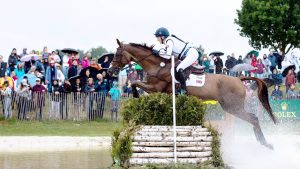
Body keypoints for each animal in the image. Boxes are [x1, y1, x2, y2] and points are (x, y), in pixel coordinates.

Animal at [108, 38, 276, 149]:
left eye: (117, 54)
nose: (110, 71)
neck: (158, 65)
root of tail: (238, 79)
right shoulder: (155, 88)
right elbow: (134, 83)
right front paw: (137, 96)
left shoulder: (155, 87)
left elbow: (135, 83)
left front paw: (136, 95)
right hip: (231, 107)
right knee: (253, 119)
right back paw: (263, 142)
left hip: (232, 107)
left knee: (253, 118)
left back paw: (266, 143)